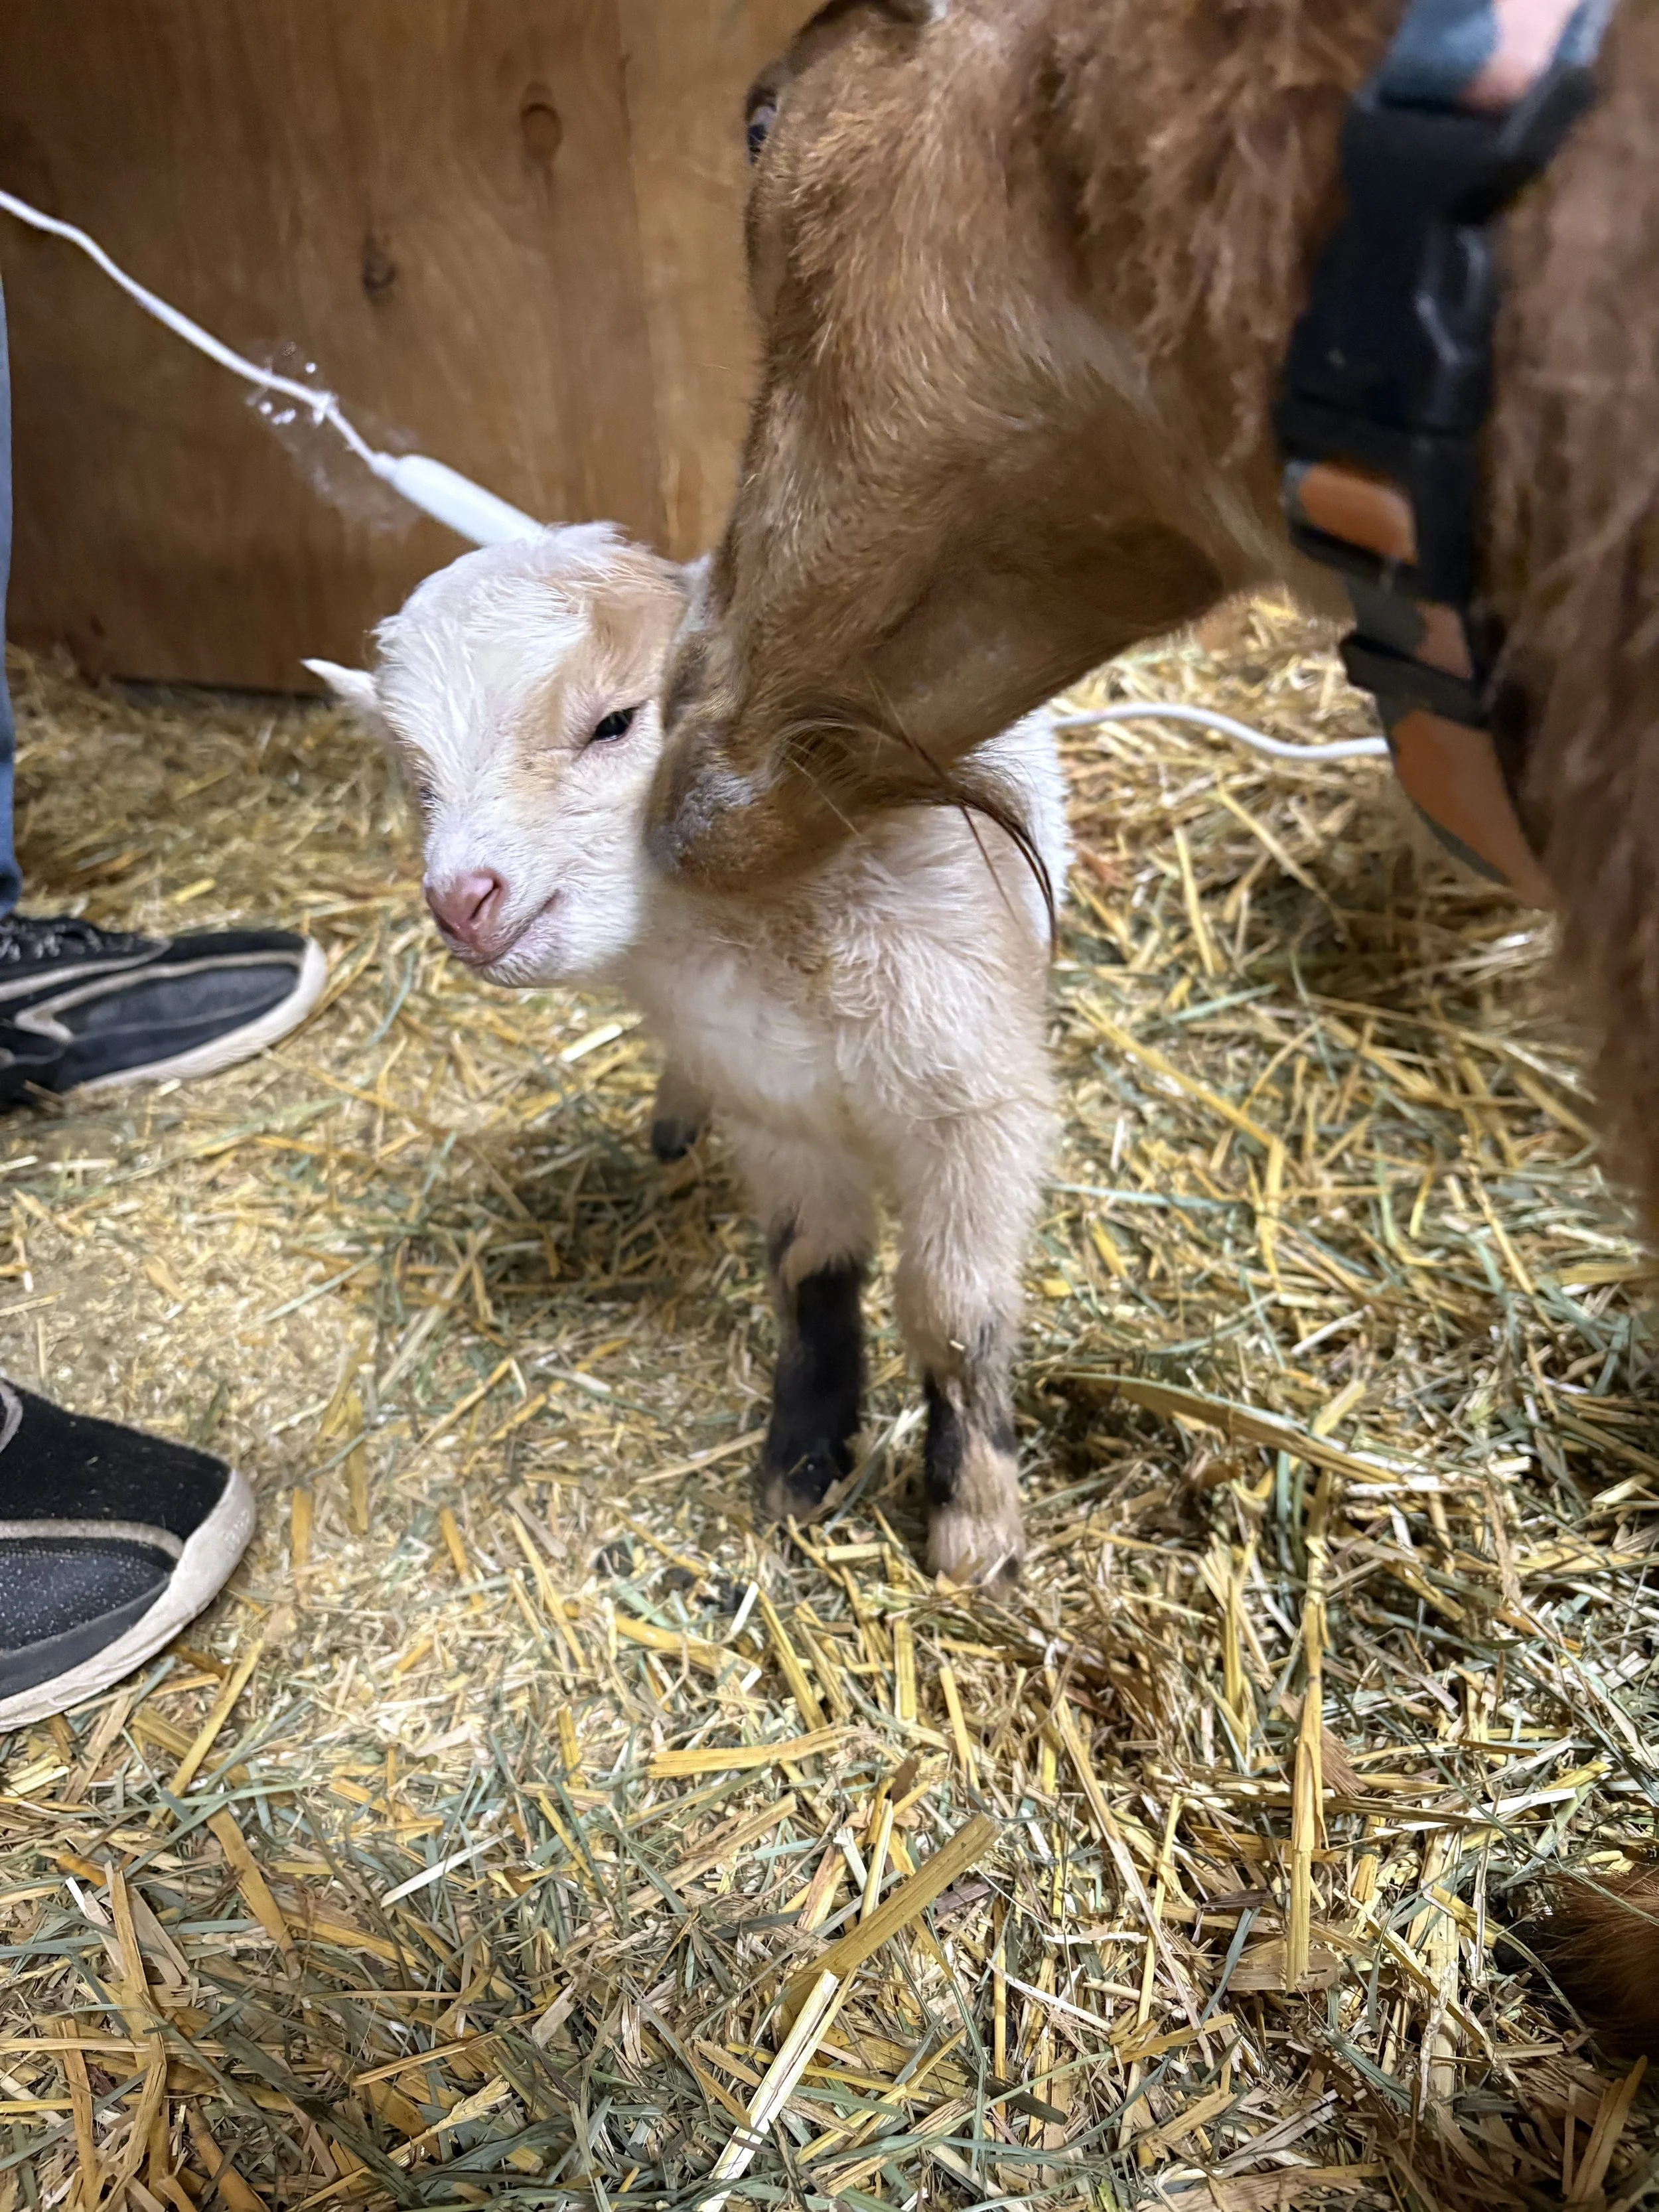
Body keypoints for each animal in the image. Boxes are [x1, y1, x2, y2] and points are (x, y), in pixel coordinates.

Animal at [310, 523, 1068, 1588]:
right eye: (417, 783)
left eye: (615, 723)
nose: (462, 900)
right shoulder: (779, 1113)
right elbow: (810, 1270)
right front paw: (802, 1462)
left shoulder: (974, 1102)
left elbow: (954, 1308)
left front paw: (975, 1524)